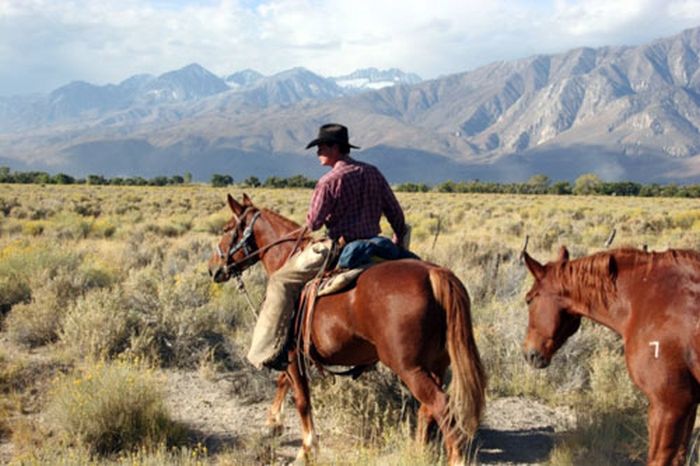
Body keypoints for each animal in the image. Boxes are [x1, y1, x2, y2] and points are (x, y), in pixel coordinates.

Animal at [205, 193, 484, 462]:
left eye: (226, 228)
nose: (213, 268)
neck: (286, 255)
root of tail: (433, 274)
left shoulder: (293, 352)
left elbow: (302, 399)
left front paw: (306, 449)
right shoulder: (293, 351)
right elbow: (284, 382)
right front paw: (272, 424)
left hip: (410, 368)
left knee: (442, 408)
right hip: (437, 364)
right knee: (429, 410)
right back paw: (418, 452)